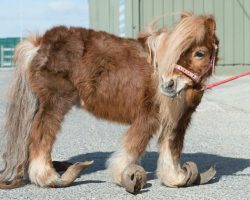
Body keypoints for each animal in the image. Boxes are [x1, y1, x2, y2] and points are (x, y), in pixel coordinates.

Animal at [0, 11, 219, 193]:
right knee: (41, 135)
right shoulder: (148, 118)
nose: (168, 84)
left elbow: (171, 148)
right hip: (55, 102)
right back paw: (49, 178)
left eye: (200, 53)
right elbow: (132, 148)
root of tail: (38, 44)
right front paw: (126, 177)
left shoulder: (176, 121)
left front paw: (175, 178)